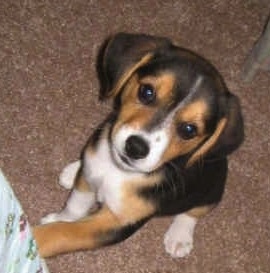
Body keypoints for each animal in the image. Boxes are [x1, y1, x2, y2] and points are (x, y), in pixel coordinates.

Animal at [32, 31, 244, 258]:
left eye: (189, 130)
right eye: (146, 92)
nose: (136, 147)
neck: (120, 171)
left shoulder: (118, 223)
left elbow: (62, 233)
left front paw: (35, 239)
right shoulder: (88, 180)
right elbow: (75, 205)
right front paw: (61, 217)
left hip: (212, 191)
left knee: (193, 212)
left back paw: (179, 237)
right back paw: (72, 171)